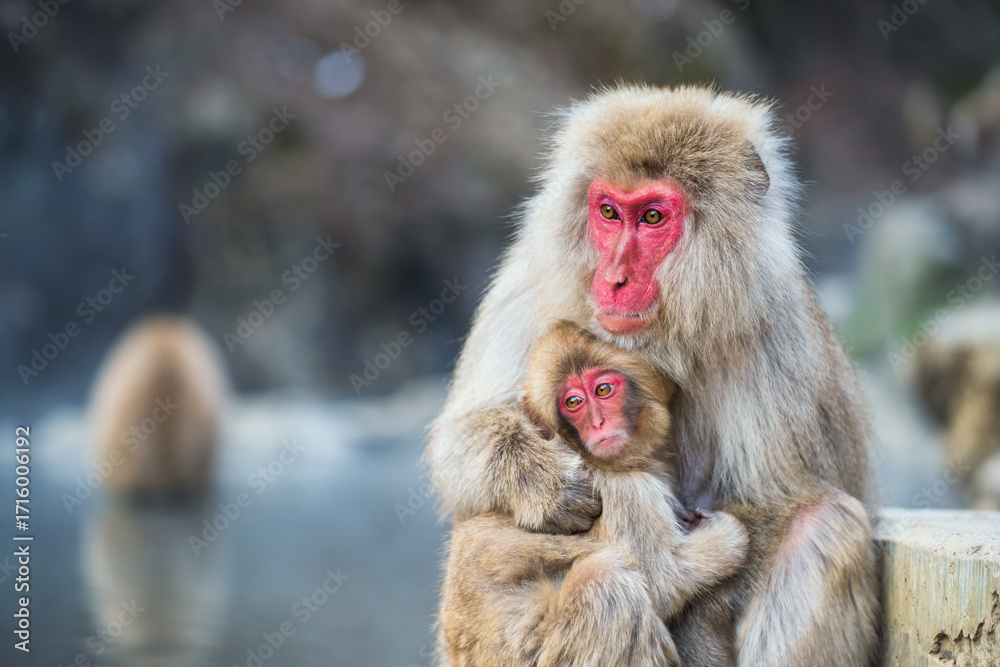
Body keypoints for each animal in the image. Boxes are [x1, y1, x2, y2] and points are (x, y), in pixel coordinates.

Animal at [438, 321, 748, 666]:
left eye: (602, 390)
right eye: (573, 402)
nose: (599, 423)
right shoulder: (626, 490)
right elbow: (664, 581)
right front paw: (728, 536)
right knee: (606, 581)